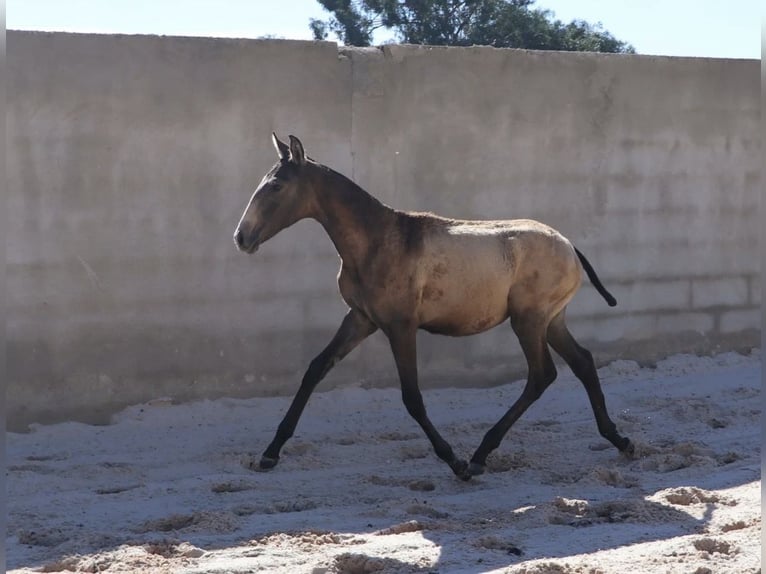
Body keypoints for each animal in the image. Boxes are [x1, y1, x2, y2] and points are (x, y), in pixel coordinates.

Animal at [234, 133, 633, 480]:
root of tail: (568, 245)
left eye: (276, 186)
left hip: (529, 320)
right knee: (582, 362)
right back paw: (619, 440)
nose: (241, 238)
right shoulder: (361, 319)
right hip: (551, 321)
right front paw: (269, 453)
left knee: (541, 375)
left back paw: (478, 456)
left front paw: (454, 461)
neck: (378, 242)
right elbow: (315, 369)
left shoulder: (400, 326)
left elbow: (412, 397)